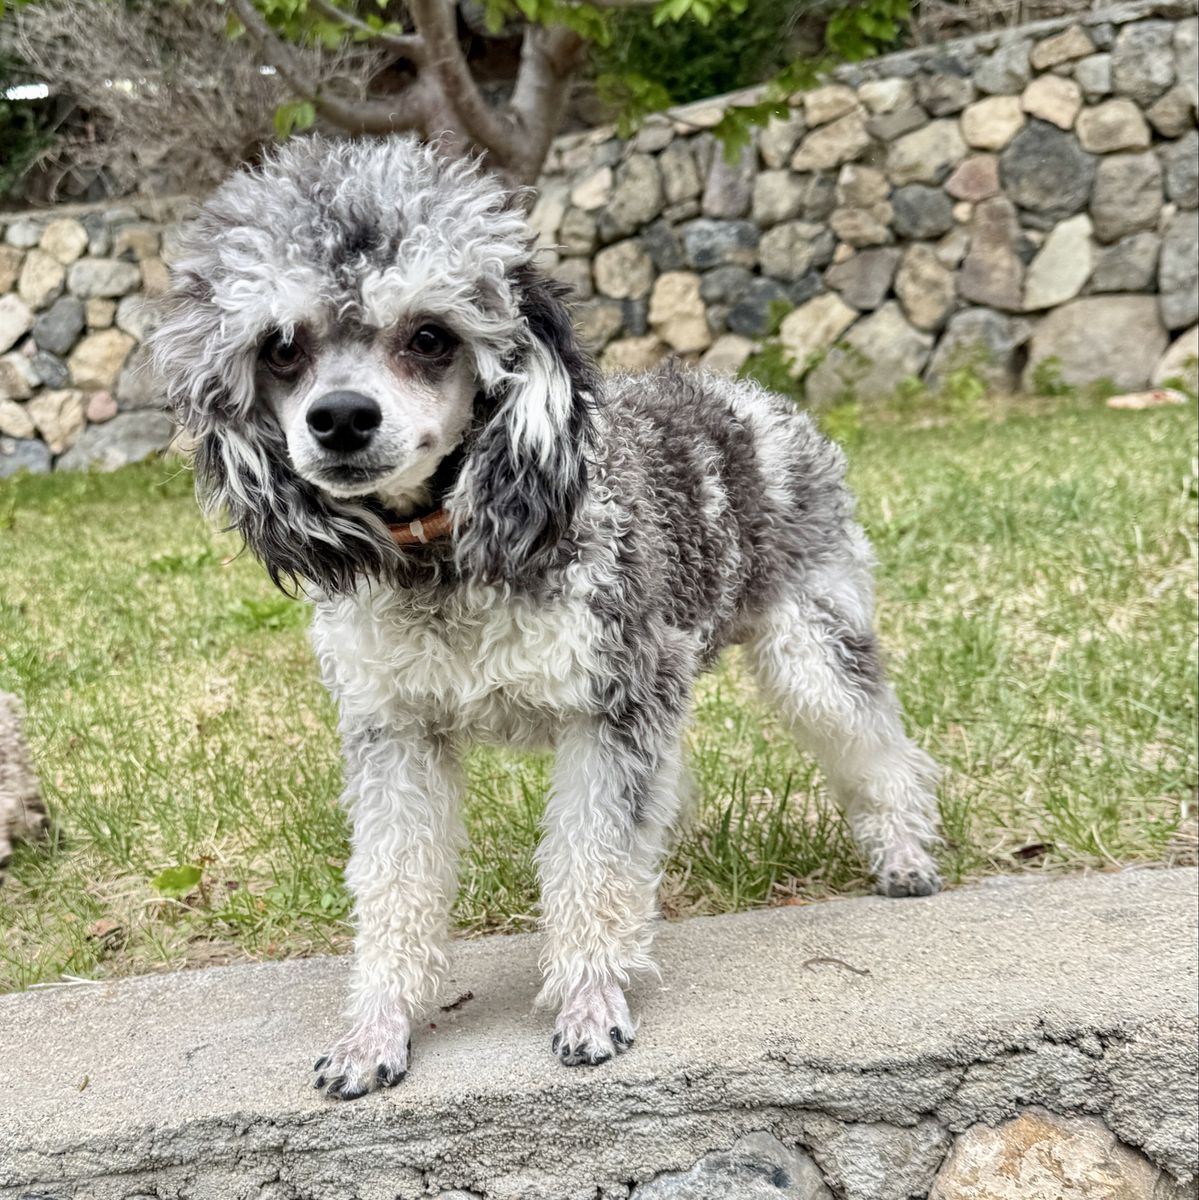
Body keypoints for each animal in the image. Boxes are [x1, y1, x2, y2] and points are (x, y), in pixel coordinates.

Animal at [151, 134, 941, 1101]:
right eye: (283, 348)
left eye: (429, 336)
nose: (339, 418)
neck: (448, 553)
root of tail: (757, 402)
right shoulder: (395, 734)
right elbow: (395, 887)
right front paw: (377, 1031)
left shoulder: (610, 712)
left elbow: (591, 864)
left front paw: (590, 1003)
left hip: (814, 646)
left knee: (878, 749)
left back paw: (903, 856)